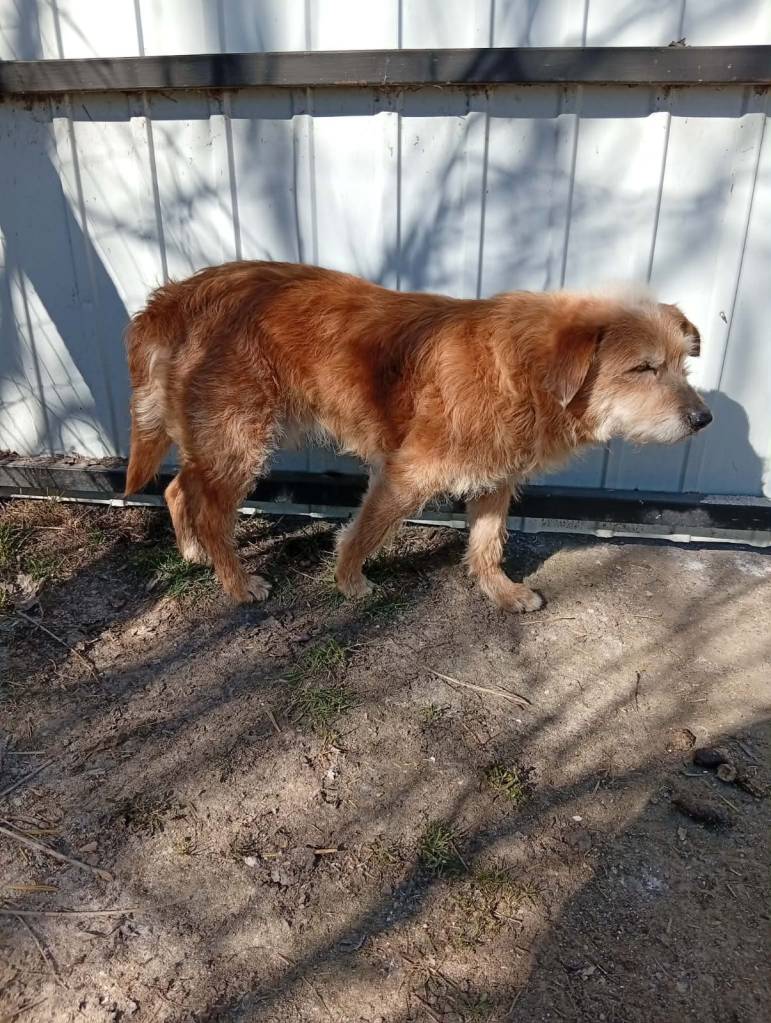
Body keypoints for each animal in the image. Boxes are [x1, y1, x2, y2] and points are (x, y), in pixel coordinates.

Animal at [124, 261, 711, 610]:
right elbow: (365, 532)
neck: (521, 369)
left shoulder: (497, 477)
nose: (703, 420)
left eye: (684, 363)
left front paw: (500, 590)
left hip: (218, 439)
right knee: (210, 509)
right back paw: (236, 582)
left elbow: (488, 541)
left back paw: (194, 552)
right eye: (643, 368)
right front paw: (349, 582)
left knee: (177, 487)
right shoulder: (405, 473)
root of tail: (178, 294)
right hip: (239, 440)